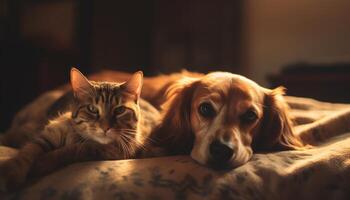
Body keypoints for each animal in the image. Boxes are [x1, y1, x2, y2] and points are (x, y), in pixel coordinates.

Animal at [0, 68, 158, 191]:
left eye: (120, 110)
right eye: (92, 109)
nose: (105, 127)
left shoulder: (104, 151)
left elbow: (67, 152)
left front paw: (42, 163)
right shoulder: (48, 135)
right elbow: (27, 152)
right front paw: (13, 173)